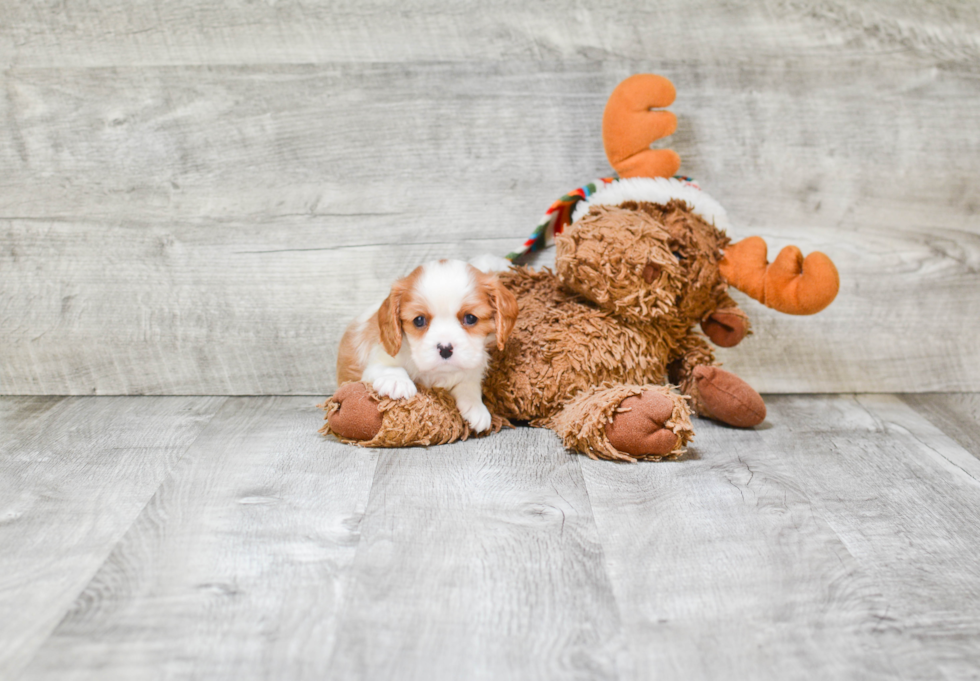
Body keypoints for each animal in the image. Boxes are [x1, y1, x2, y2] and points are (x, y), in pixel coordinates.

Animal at [336, 258, 516, 432]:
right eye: (419, 320)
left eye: (471, 318)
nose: (445, 348)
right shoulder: (376, 361)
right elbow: (388, 368)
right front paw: (396, 381)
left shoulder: (472, 366)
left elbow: (469, 384)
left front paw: (477, 408)